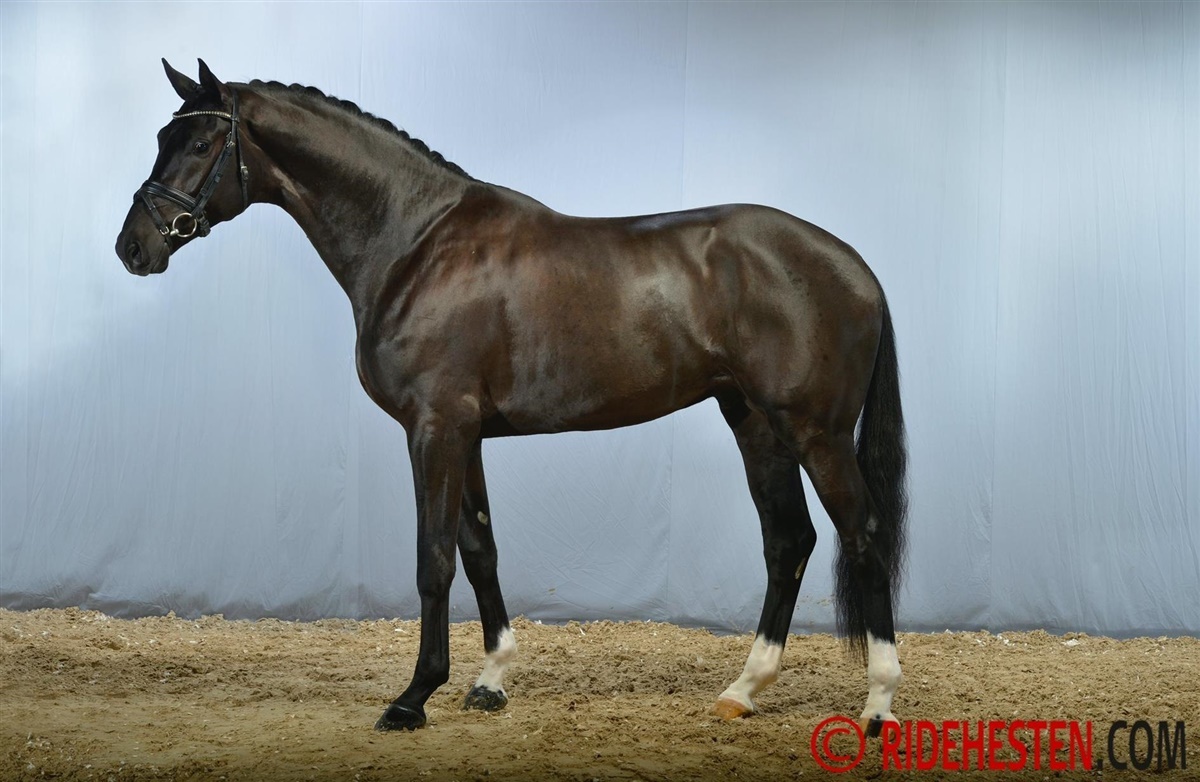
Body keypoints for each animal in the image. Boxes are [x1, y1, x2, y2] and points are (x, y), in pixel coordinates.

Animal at [115, 59, 909, 735]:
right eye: (162, 138)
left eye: (201, 141)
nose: (134, 247)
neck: (414, 243)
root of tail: (856, 266)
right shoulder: (465, 434)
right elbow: (480, 548)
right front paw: (490, 680)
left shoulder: (434, 428)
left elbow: (433, 557)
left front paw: (413, 697)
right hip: (756, 424)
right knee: (790, 540)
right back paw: (743, 690)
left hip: (815, 432)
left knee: (863, 535)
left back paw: (878, 704)